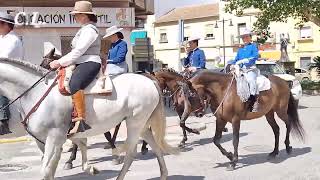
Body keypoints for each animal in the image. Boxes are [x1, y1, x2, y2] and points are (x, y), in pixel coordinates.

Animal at [0, 58, 176, 180]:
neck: (34, 93)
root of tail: (150, 80)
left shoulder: (55, 137)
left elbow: (46, 170)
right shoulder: (43, 140)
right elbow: (51, 169)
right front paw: (89, 168)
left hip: (135, 122)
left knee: (131, 153)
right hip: (143, 125)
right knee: (155, 146)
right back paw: (163, 174)